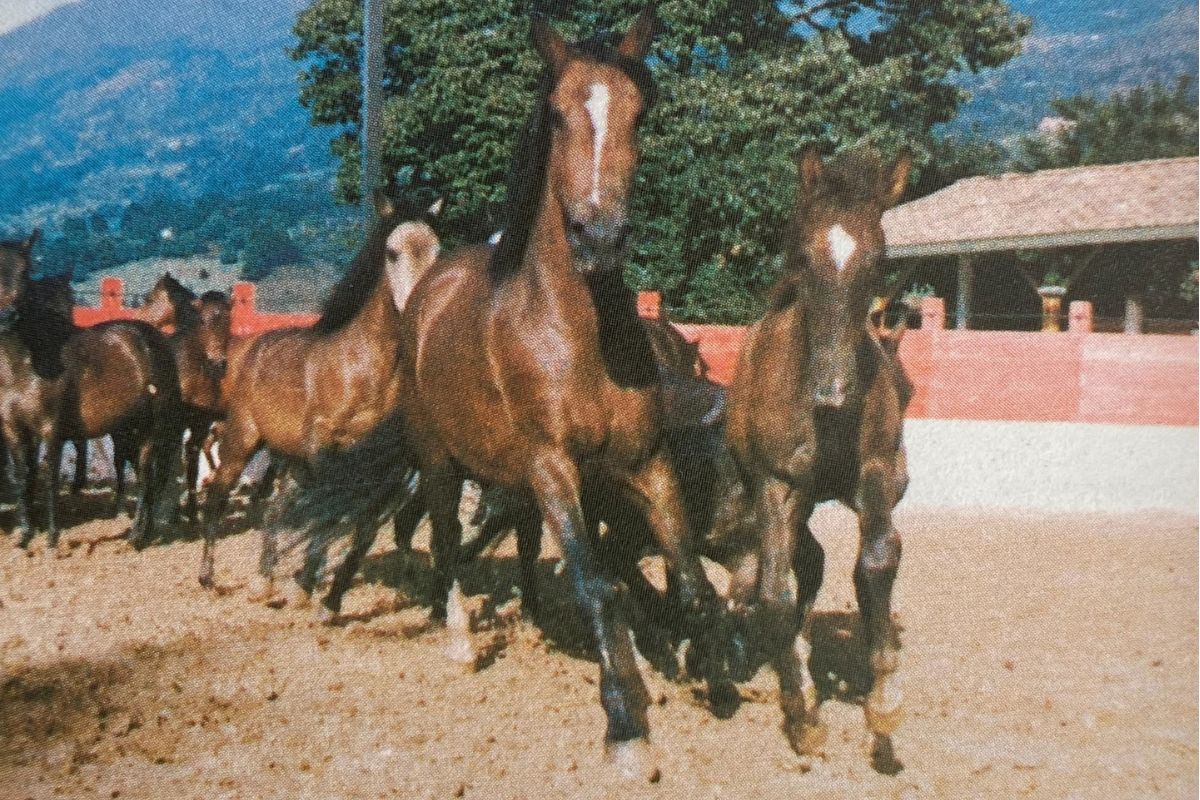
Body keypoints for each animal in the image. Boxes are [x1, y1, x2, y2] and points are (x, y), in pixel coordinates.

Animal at [0, 232, 185, 549]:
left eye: (25, 272)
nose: (8, 316)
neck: (26, 363)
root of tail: (155, 339)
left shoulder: (51, 429)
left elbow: (49, 476)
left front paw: (52, 536)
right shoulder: (13, 429)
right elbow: (23, 477)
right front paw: (24, 535)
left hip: (152, 427)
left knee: (147, 473)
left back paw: (136, 537)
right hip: (126, 430)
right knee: (142, 474)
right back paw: (144, 531)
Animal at [134, 274, 232, 520]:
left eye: (228, 321)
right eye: (203, 321)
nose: (218, 364)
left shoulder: (200, 425)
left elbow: (192, 465)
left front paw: (192, 512)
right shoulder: (175, 425)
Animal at [197, 193, 442, 590]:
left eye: (438, 251)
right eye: (391, 252)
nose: (418, 310)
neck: (359, 367)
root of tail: (247, 352)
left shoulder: (371, 459)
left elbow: (359, 519)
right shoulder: (323, 446)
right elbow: (325, 511)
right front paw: (309, 580)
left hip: (285, 455)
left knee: (275, 507)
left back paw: (266, 575)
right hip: (242, 439)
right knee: (218, 494)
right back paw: (208, 576)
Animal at [276, 10, 737, 775]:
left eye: (640, 111)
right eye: (556, 113)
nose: (598, 236)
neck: (579, 334)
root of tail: (426, 297)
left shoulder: (643, 464)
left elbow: (690, 575)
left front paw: (714, 675)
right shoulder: (553, 468)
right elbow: (595, 583)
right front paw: (626, 724)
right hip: (438, 459)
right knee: (440, 535)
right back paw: (458, 635)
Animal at [716, 146, 913, 773]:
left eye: (880, 259)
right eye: (801, 256)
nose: (834, 391)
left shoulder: (876, 477)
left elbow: (875, 564)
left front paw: (882, 708)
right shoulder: (775, 486)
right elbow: (774, 595)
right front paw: (803, 721)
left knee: (833, 561)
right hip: (786, 501)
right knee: (799, 567)